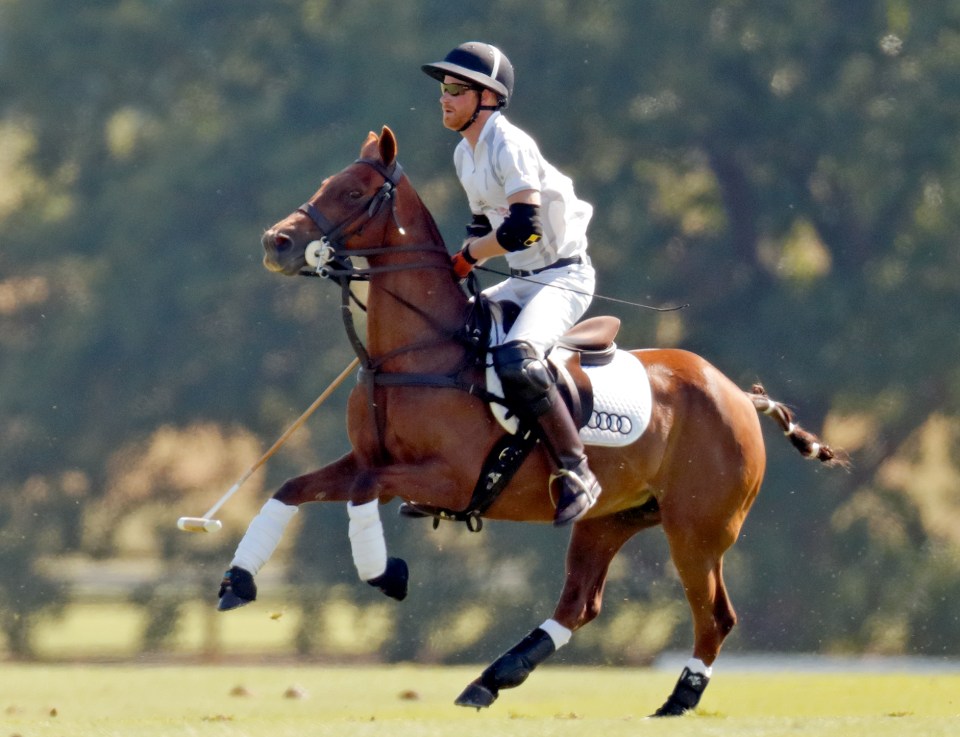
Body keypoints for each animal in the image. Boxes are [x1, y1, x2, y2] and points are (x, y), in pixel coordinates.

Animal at [221, 125, 844, 712]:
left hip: (699, 528)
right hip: (611, 518)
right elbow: (292, 487)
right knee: (580, 604)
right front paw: (237, 581)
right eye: (325, 183)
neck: (417, 352)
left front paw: (386, 572)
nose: (277, 242)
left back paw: (678, 700)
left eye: (353, 192)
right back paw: (491, 679)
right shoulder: (369, 458)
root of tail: (738, 394)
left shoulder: (449, 477)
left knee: (714, 615)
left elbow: (361, 492)